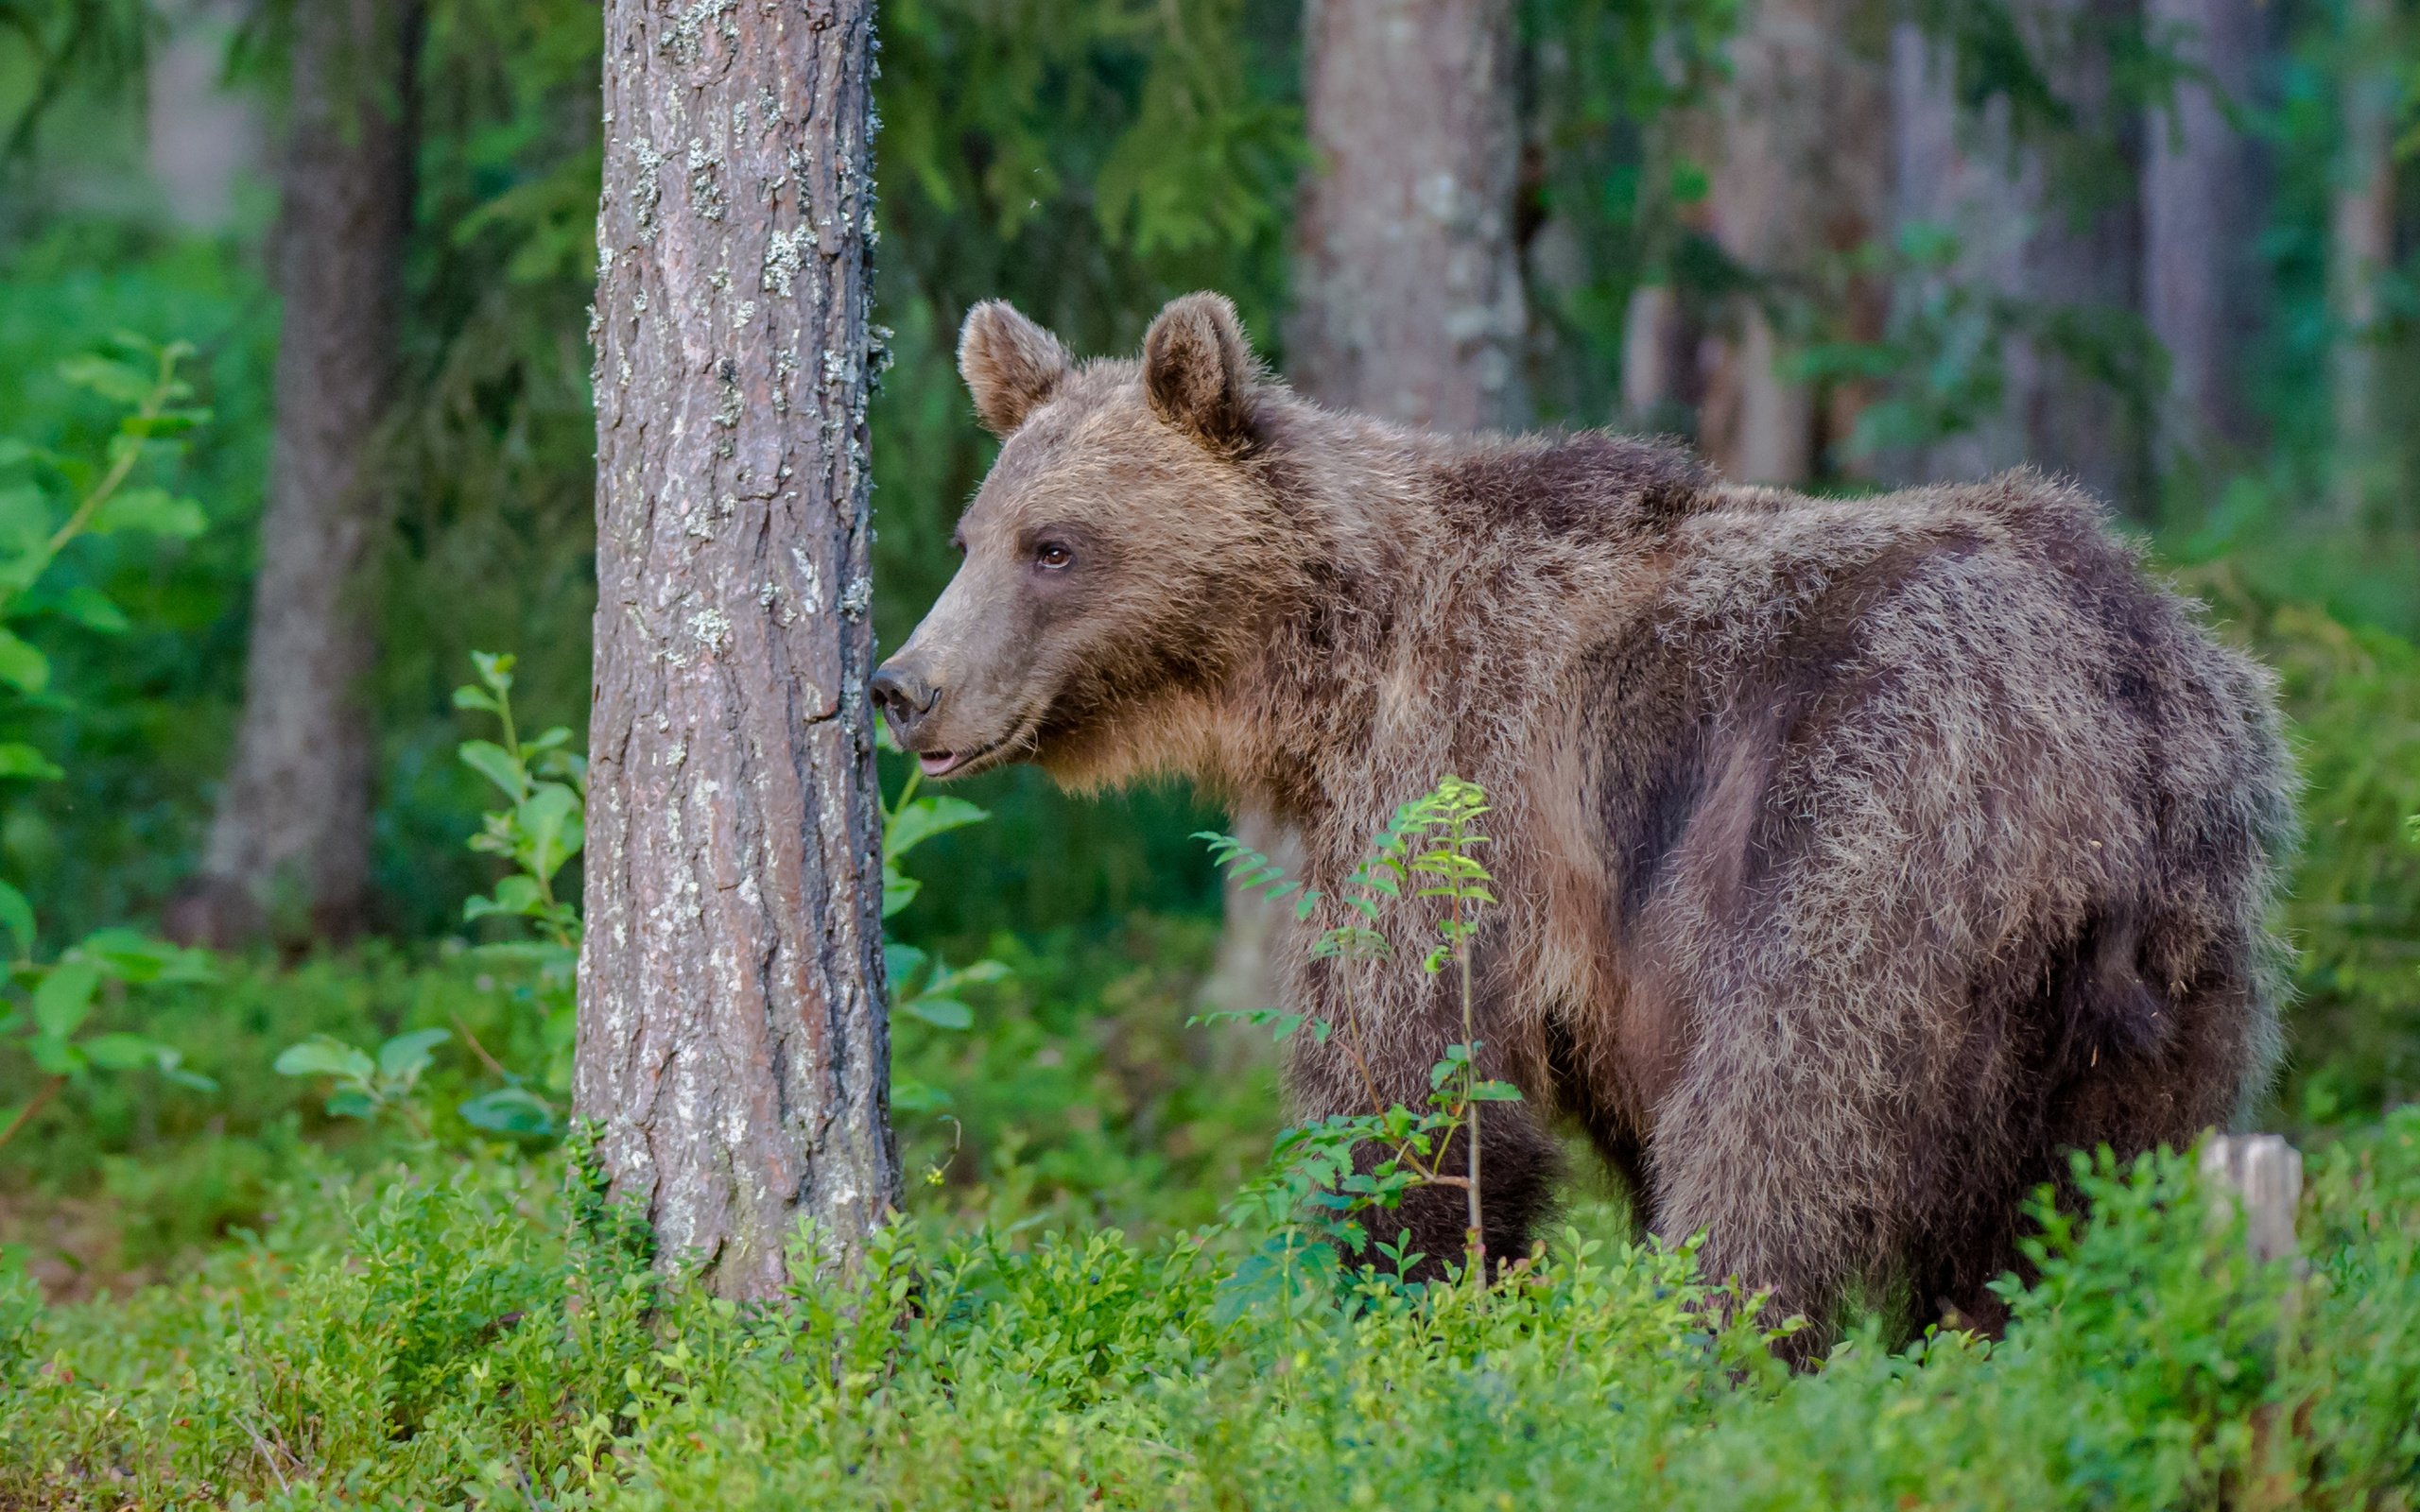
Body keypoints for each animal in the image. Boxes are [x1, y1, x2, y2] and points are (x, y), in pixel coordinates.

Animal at [880, 288, 2293, 1335]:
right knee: (2088, 1199)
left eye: (1055, 547)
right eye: (970, 534)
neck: (1330, 659)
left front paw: (1398, 1302)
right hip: (2175, 960)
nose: (905, 686)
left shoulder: (1457, 786)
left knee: (1778, 1135)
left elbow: (1408, 1080)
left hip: (1872, 833)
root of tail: (2110, 698)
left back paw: (1716, 1354)